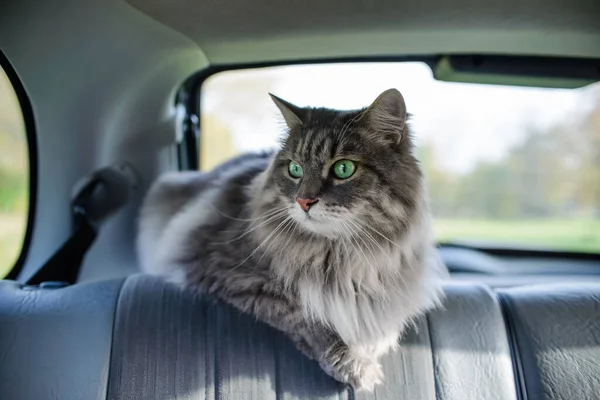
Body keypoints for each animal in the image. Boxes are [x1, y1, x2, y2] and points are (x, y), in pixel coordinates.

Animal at [136, 87, 446, 390]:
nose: (303, 201)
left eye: (344, 169)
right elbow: (307, 314)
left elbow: (385, 318)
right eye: (295, 169)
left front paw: (373, 343)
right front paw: (354, 361)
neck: (340, 256)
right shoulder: (230, 273)